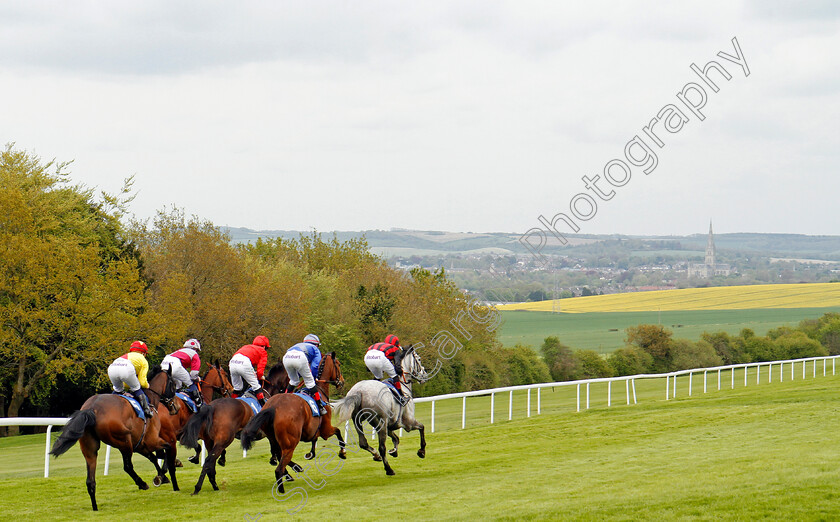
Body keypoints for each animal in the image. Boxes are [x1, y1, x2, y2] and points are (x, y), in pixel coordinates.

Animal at [50, 366, 178, 508]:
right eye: (173, 384)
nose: (175, 408)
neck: (150, 400)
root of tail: (91, 409)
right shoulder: (151, 441)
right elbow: (166, 450)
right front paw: (164, 473)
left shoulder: (140, 445)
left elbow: (154, 458)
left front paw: (164, 475)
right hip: (124, 442)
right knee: (127, 467)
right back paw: (142, 484)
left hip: (90, 448)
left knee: (90, 481)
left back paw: (95, 507)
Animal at [240, 350, 348, 492]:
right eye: (339, 364)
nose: (342, 381)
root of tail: (273, 407)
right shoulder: (325, 430)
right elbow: (338, 432)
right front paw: (342, 453)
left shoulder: (314, 431)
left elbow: (315, 441)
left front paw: (311, 453)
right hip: (290, 443)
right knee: (279, 469)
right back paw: (283, 488)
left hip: (274, 440)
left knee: (277, 456)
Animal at [332, 344, 430, 474]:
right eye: (418, 359)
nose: (425, 375)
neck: (403, 386)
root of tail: (359, 391)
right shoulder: (408, 422)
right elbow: (422, 427)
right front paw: (422, 451)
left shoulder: (390, 425)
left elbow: (396, 439)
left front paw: (394, 451)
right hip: (380, 422)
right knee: (382, 447)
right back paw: (389, 469)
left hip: (358, 420)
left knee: (363, 443)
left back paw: (376, 455)